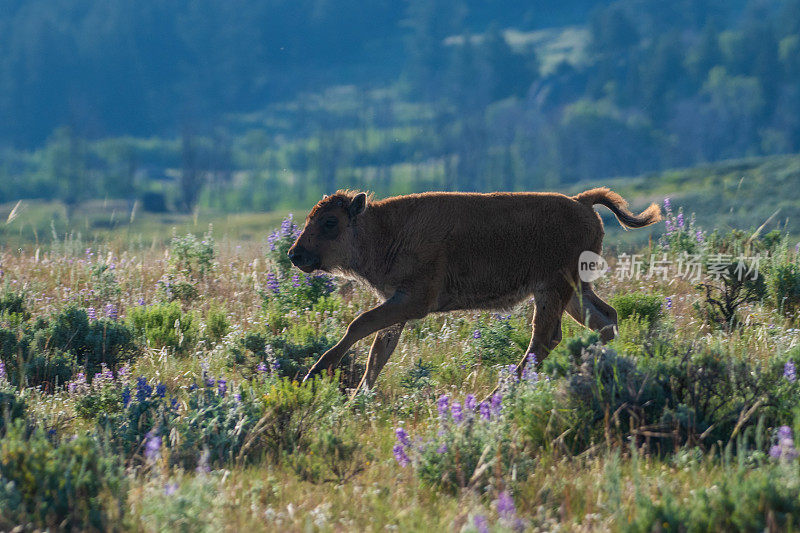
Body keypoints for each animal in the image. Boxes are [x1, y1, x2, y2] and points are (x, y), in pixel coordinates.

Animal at [290, 189, 664, 392]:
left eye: (330, 222)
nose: (295, 255)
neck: (382, 229)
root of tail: (582, 202)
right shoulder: (397, 307)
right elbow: (377, 353)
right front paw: (358, 398)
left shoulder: (413, 302)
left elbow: (359, 326)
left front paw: (313, 373)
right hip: (574, 292)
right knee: (604, 319)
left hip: (552, 290)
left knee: (544, 339)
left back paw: (494, 396)